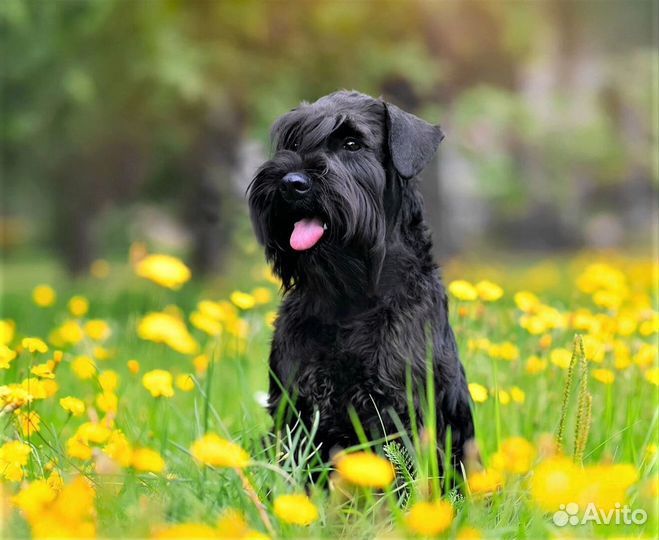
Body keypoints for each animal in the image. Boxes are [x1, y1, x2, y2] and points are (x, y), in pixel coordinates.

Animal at [249, 90, 474, 474]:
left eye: (352, 144)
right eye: (292, 141)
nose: (291, 183)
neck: (347, 300)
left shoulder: (399, 408)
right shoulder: (294, 407)